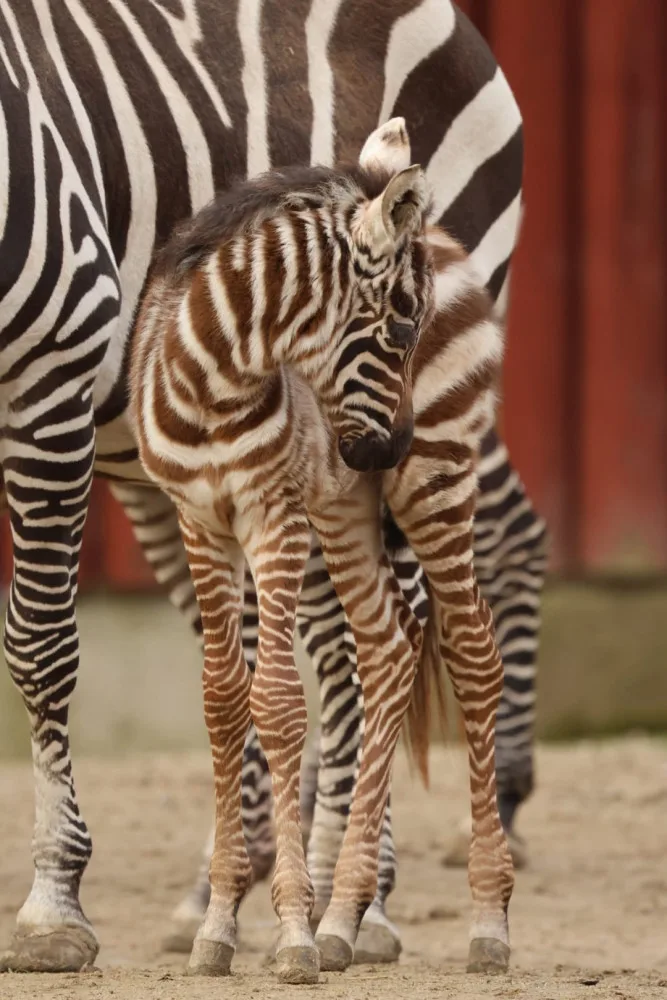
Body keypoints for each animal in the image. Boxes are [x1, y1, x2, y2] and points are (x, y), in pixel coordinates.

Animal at [0, 0, 546, 975]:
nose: (387, 445)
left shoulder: (54, 355)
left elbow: (42, 643)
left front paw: (53, 907)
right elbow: (235, 680)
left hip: (408, 463)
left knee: (414, 625)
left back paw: (371, 901)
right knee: (330, 646)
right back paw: (276, 884)